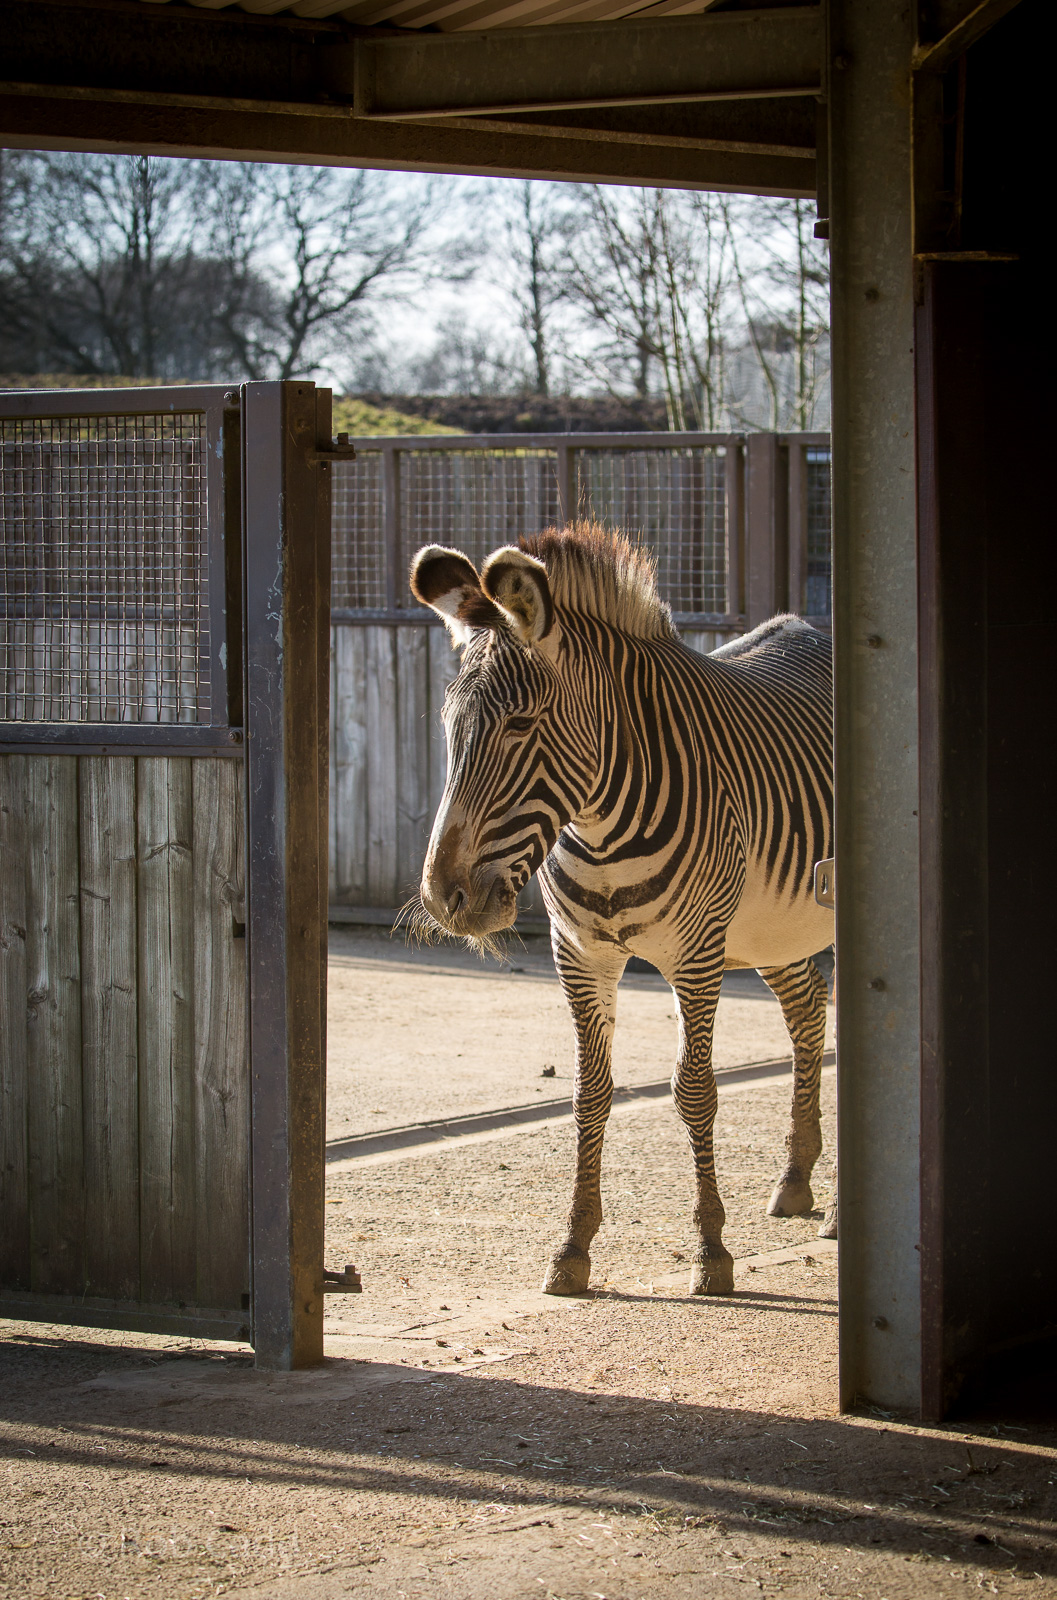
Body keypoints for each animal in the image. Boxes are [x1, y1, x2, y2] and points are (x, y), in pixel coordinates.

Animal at [410, 523, 834, 1297]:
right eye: (449, 725)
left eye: (521, 725)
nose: (443, 899)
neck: (602, 824)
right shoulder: (580, 953)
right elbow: (589, 1094)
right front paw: (571, 1246)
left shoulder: (697, 954)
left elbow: (694, 1091)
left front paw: (710, 1251)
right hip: (774, 929)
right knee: (808, 1008)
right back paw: (794, 1180)